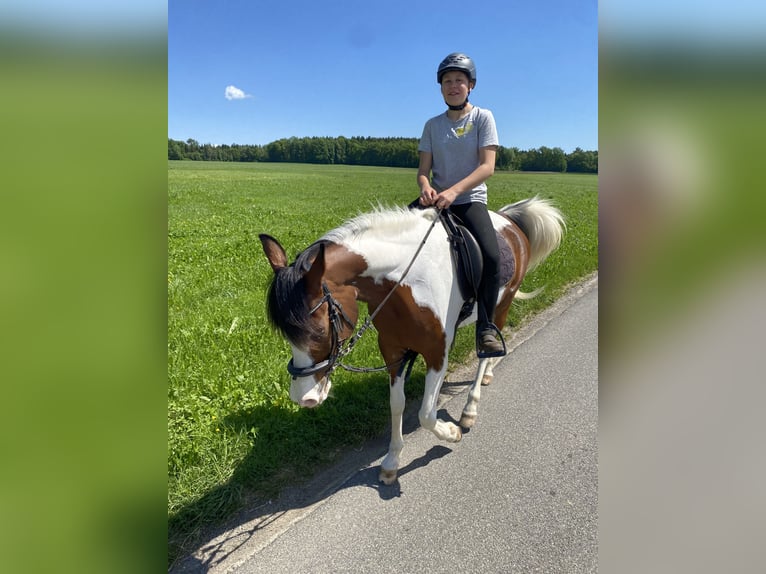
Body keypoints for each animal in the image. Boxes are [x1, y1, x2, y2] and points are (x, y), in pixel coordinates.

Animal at [260, 198, 568, 486]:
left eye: (320, 329)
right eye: (287, 334)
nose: (304, 398)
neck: (407, 282)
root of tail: (508, 219)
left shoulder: (436, 352)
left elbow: (426, 414)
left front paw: (451, 433)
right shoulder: (393, 350)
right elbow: (397, 404)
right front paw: (391, 461)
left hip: (501, 305)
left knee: (487, 345)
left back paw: (470, 408)